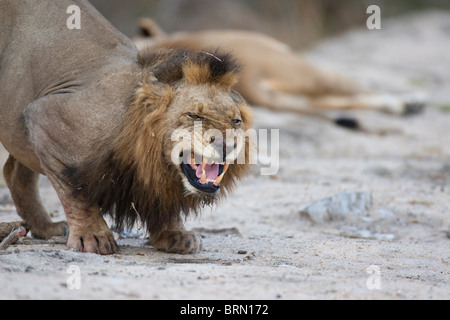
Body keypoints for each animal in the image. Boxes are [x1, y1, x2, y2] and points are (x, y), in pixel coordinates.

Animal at [0, 0, 251, 255]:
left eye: (236, 121)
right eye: (194, 115)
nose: (226, 146)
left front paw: (174, 234)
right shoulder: (45, 116)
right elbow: (76, 193)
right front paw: (93, 236)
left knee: (13, 173)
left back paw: (45, 227)